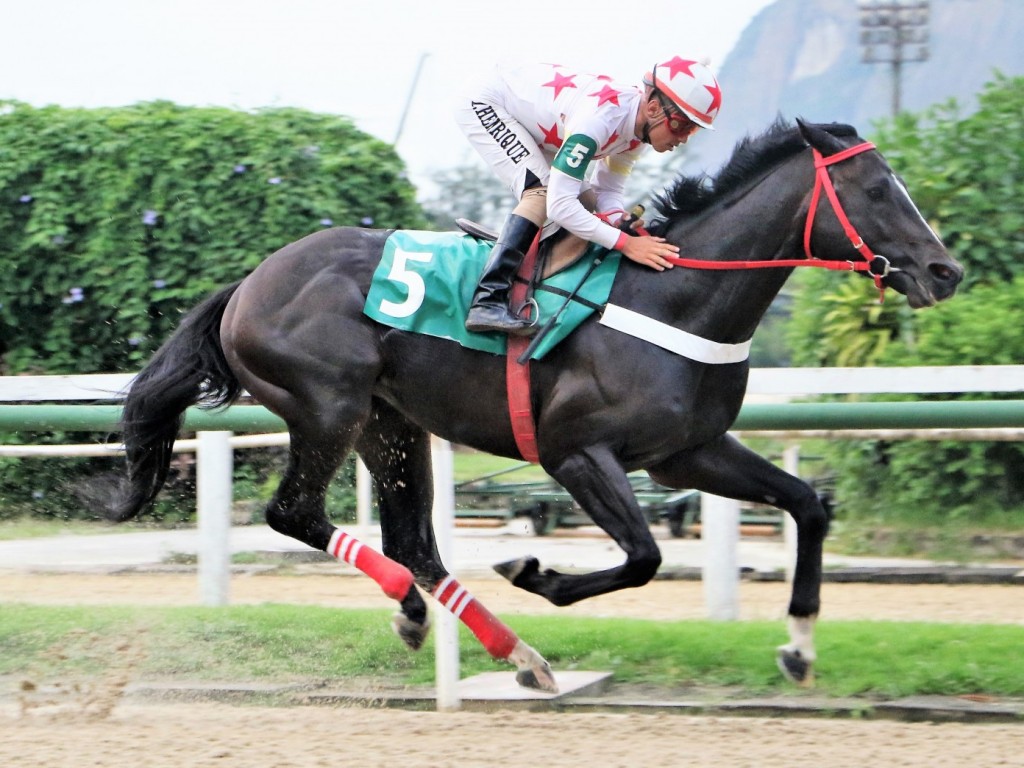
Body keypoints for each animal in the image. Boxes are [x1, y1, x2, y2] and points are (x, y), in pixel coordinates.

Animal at [112, 120, 958, 692]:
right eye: (877, 190)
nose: (944, 271)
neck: (673, 300)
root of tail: (247, 284)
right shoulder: (574, 453)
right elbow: (644, 557)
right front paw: (536, 571)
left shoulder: (690, 451)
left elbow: (808, 506)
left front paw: (799, 647)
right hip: (328, 408)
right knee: (296, 514)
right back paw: (424, 611)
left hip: (391, 423)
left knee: (415, 544)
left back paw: (504, 649)